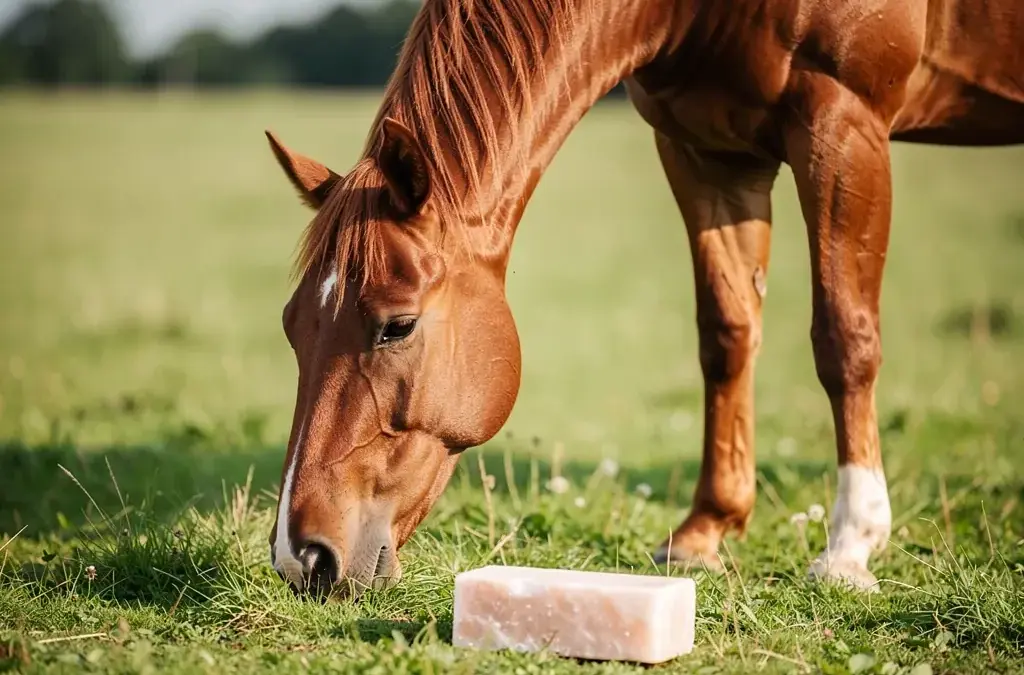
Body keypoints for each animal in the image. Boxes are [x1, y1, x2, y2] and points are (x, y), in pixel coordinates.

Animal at [263, 0, 1024, 599]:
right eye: (292, 328)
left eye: (397, 326)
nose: (302, 557)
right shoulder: (708, 151)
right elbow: (727, 335)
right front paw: (703, 531)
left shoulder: (843, 120)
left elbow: (845, 336)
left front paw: (851, 545)